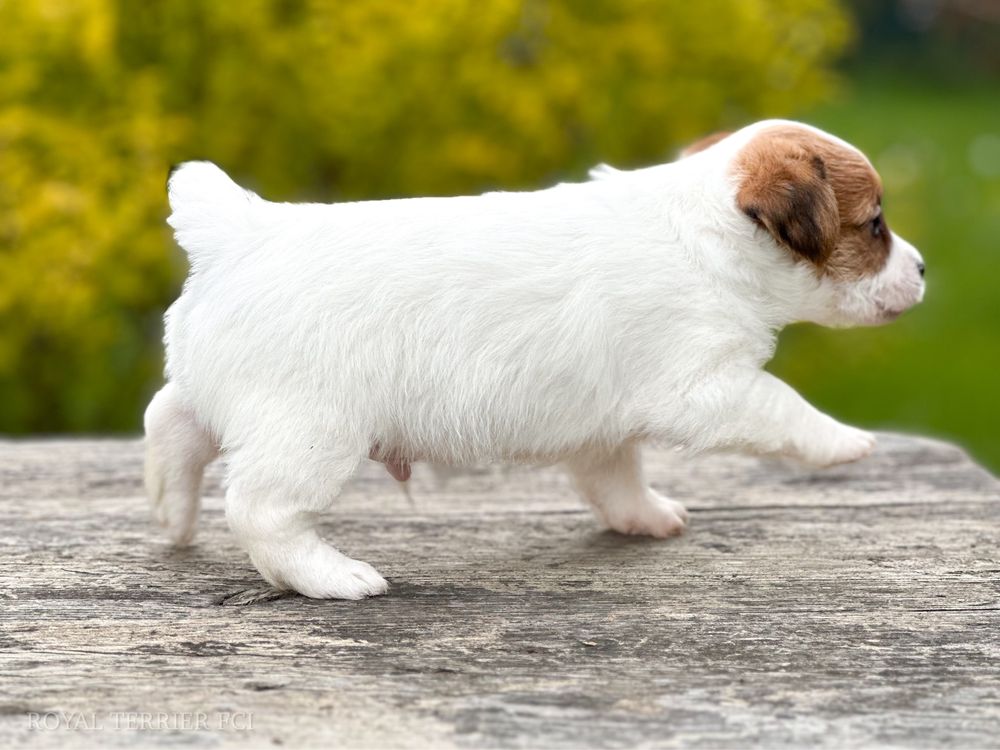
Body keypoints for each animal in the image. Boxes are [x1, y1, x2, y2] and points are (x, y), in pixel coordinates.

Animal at [145, 120, 924, 604]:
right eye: (875, 225)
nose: (921, 270)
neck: (709, 232)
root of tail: (238, 232)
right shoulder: (708, 389)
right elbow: (782, 403)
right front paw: (844, 442)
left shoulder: (605, 425)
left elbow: (616, 478)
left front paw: (643, 516)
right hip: (311, 435)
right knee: (261, 509)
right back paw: (332, 575)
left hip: (223, 395)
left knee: (169, 422)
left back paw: (171, 513)